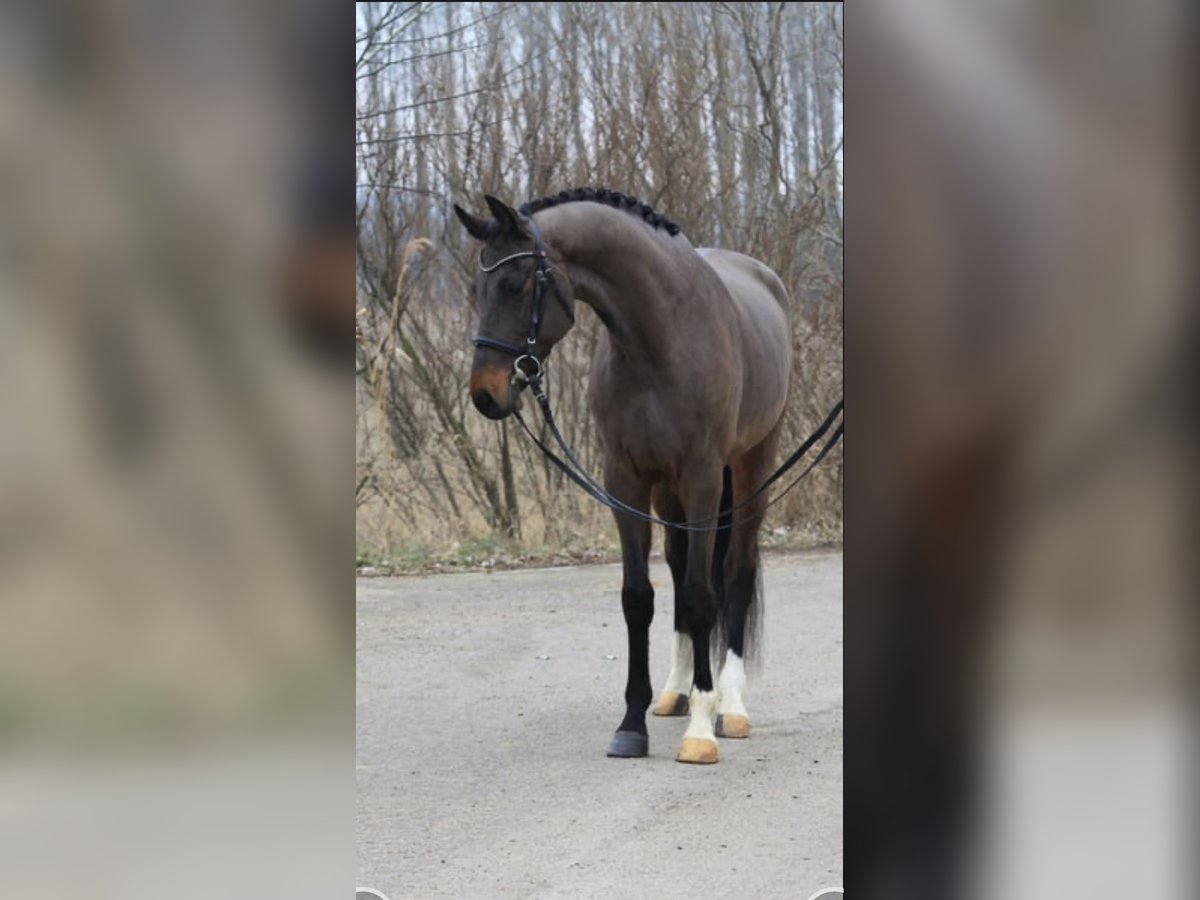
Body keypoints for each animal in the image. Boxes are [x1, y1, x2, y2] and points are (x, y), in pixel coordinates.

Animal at [453, 187, 792, 763]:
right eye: (478, 288)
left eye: (517, 284)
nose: (486, 394)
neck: (663, 340)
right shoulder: (625, 481)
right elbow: (640, 598)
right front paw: (633, 723)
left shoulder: (703, 477)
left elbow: (703, 595)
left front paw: (701, 731)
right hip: (669, 492)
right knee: (678, 567)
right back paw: (676, 692)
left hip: (750, 467)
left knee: (736, 572)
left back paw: (730, 705)